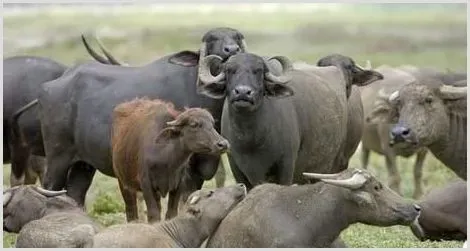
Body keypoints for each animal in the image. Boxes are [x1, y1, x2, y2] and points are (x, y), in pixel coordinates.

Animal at [11, 26, 246, 207]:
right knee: (49, 187)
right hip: (57, 157)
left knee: (75, 194)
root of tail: (49, 87)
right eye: (211, 38)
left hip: (83, 163)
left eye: (237, 38)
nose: (231, 50)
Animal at [196, 53, 384, 190]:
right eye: (230, 71)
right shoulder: (237, 169)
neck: (252, 139)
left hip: (339, 162)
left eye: (258, 71)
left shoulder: (286, 166)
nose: (243, 92)